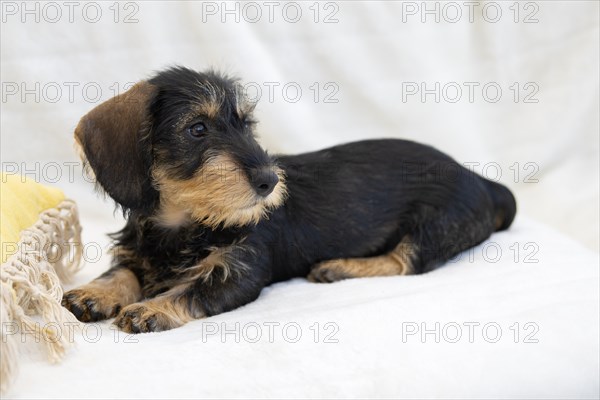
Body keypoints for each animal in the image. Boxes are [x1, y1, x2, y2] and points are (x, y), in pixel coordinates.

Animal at [63, 66, 516, 334]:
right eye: (197, 129)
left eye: (246, 125)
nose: (269, 181)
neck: (187, 223)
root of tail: (477, 178)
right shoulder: (137, 251)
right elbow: (122, 272)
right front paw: (96, 293)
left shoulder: (238, 272)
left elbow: (191, 290)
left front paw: (152, 308)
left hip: (435, 227)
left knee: (405, 261)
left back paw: (339, 267)